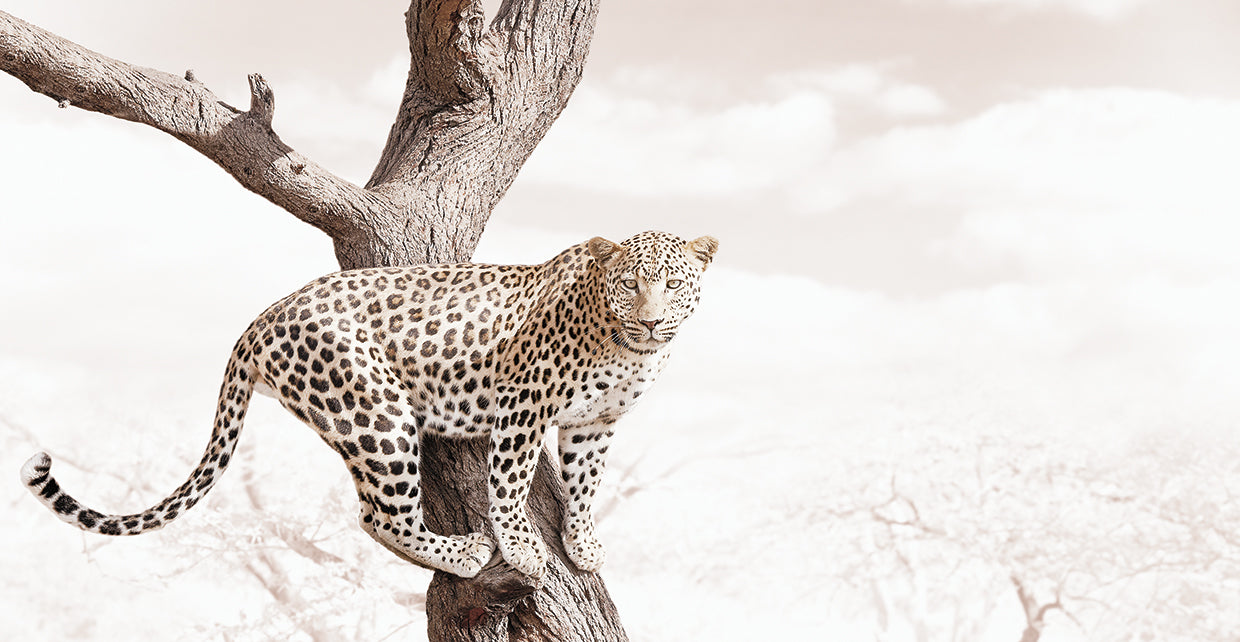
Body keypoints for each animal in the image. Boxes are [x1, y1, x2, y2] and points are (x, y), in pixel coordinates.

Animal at [21, 230, 718, 580]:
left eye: (671, 283)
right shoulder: (523, 407)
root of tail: (259, 319)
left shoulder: (595, 423)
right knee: (379, 517)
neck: (630, 349)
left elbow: (585, 484)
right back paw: (465, 554)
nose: (651, 320)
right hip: (375, 411)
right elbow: (511, 484)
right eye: (630, 283)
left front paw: (585, 541)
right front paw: (524, 549)